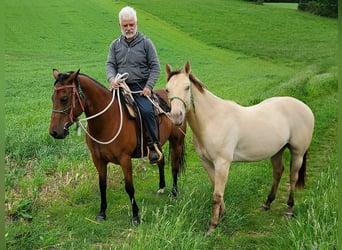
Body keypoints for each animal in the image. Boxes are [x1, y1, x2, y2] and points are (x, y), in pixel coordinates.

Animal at [48, 69, 184, 226]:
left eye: (64, 98)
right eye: (52, 98)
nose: (54, 132)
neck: (107, 121)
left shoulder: (125, 159)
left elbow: (129, 187)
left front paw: (135, 216)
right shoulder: (98, 160)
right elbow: (102, 185)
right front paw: (102, 213)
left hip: (177, 142)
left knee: (174, 167)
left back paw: (174, 193)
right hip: (158, 146)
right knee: (161, 161)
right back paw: (161, 188)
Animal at [166, 61, 316, 234]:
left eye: (186, 87)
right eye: (167, 89)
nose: (176, 117)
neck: (213, 119)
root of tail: (305, 107)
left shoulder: (222, 163)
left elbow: (217, 195)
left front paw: (213, 226)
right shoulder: (207, 163)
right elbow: (216, 189)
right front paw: (223, 215)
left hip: (298, 153)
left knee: (293, 177)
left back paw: (289, 209)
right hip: (277, 151)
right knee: (278, 172)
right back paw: (267, 203)